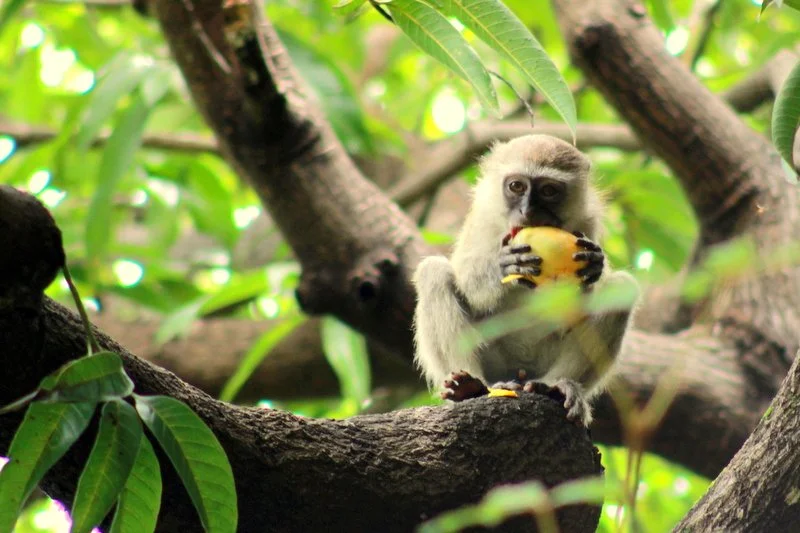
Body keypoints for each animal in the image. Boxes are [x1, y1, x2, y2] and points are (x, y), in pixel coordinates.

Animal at [412, 134, 638, 426]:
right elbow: (467, 284)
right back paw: (469, 389)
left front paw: (594, 263)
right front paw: (505, 266)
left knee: (622, 287)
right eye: (516, 186)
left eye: (549, 190)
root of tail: (520, 373)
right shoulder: (482, 216)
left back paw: (554, 388)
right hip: (495, 362)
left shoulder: (587, 220)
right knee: (433, 273)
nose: (527, 211)